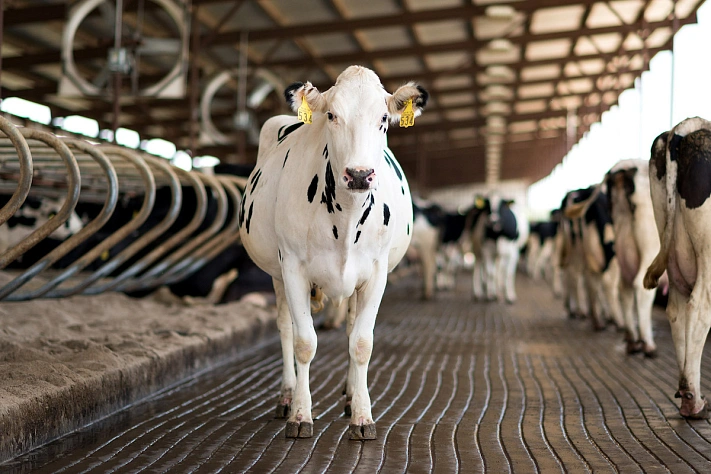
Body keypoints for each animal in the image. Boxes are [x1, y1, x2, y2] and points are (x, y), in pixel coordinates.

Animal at [239, 65, 428, 438]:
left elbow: (362, 342)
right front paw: (301, 414)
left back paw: (352, 395)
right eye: (331, 115)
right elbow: (304, 342)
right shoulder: (292, 267)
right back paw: (286, 396)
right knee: (284, 326)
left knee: (352, 327)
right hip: (276, 273)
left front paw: (363, 416)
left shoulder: (377, 272)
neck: (346, 216)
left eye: (383, 118)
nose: (359, 174)